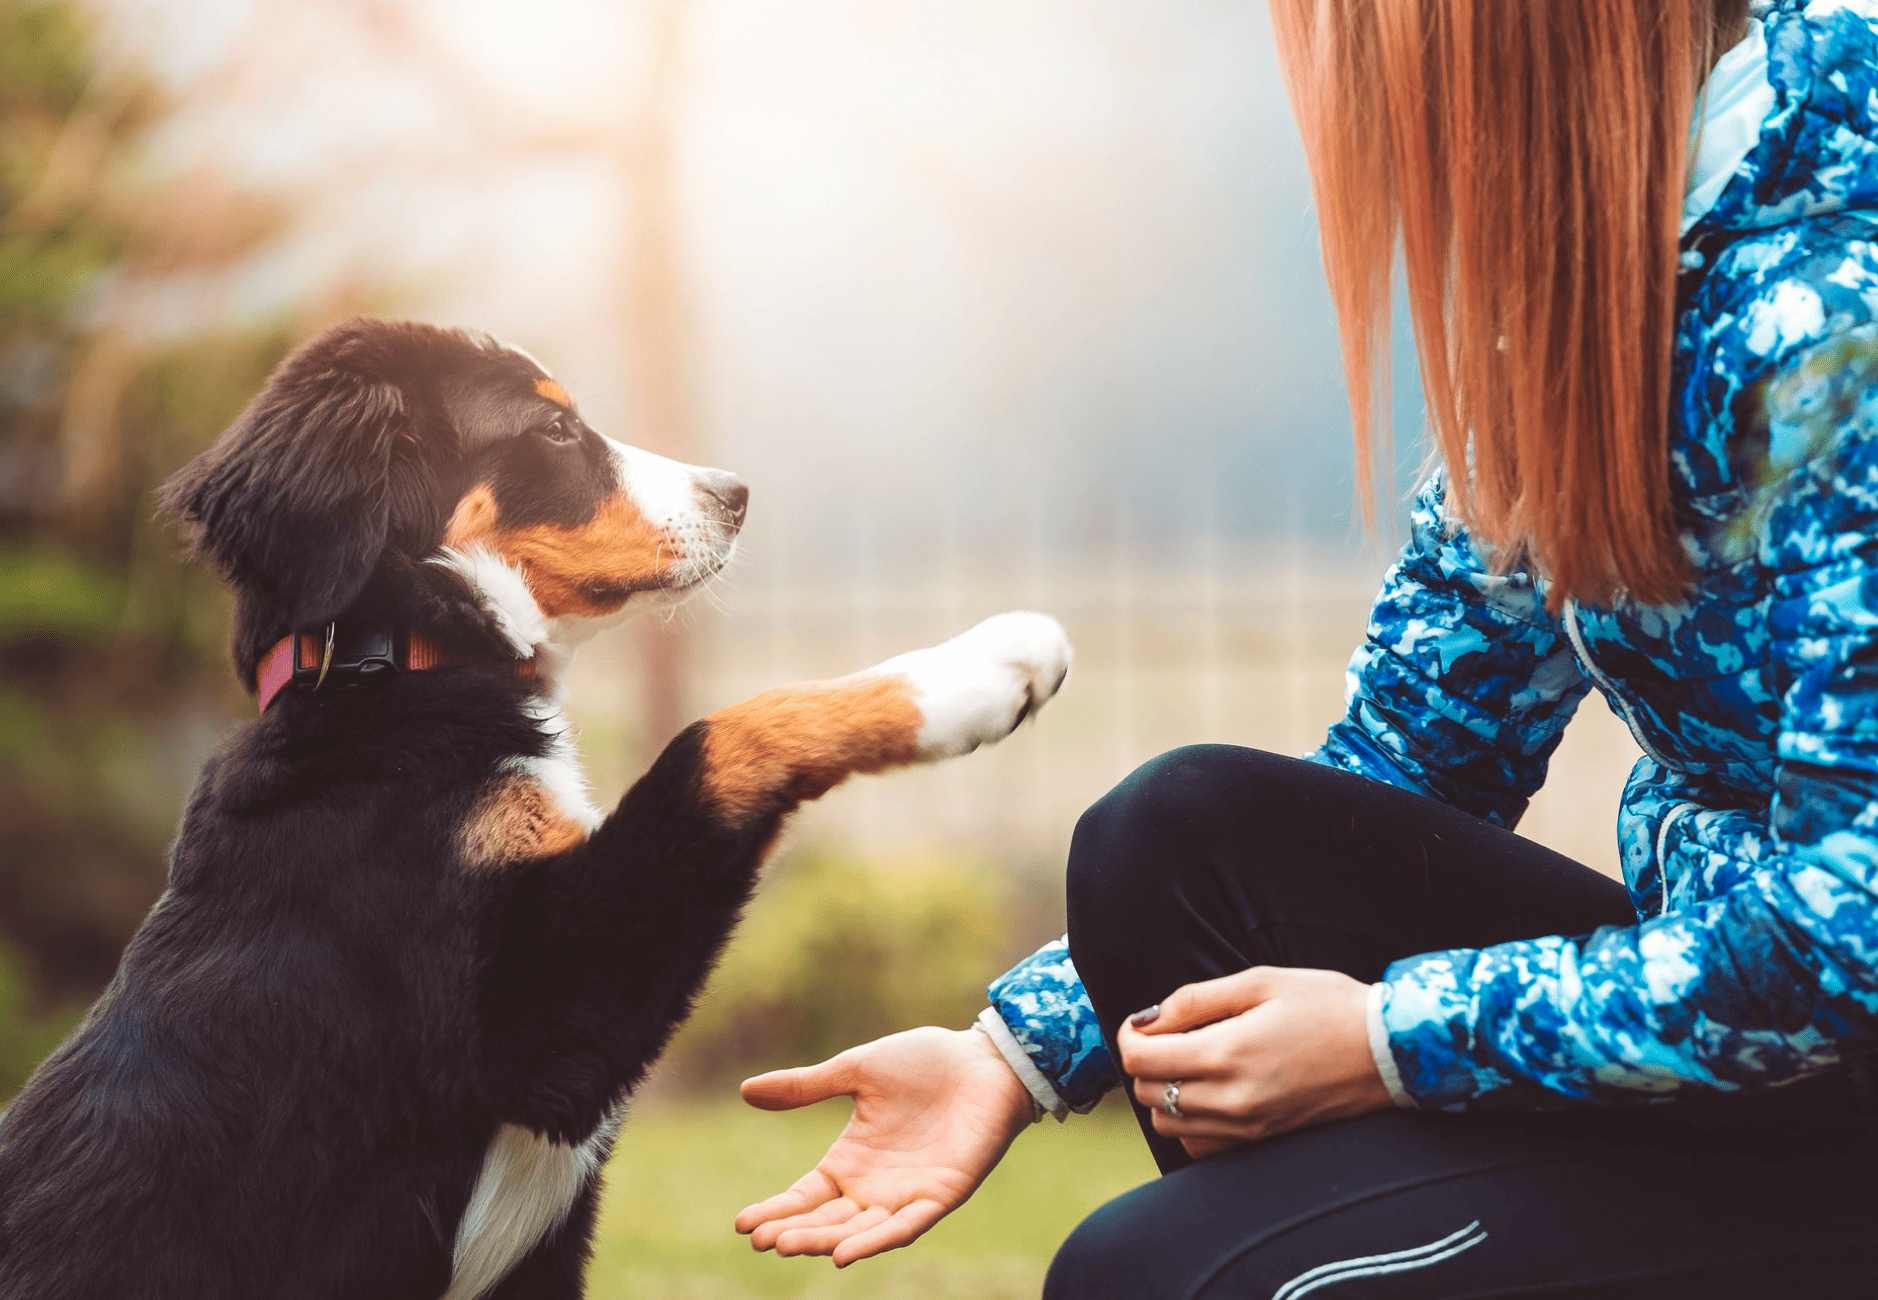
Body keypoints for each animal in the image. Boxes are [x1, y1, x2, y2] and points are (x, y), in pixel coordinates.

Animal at [0, 317, 1066, 1300]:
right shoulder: (537, 1015)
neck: (394, 670)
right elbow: (722, 735)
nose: (737, 495)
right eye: (553, 428)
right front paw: (979, 672)